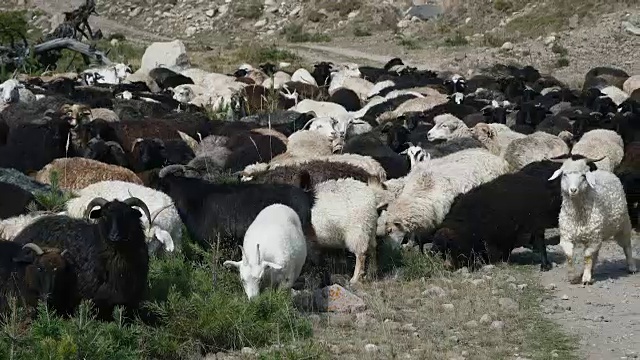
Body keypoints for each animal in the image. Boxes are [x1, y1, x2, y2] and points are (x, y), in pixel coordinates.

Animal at [430, 160, 560, 270]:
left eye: (451, 247)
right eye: (442, 252)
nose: (449, 267)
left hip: (535, 222)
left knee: (539, 240)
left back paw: (544, 265)